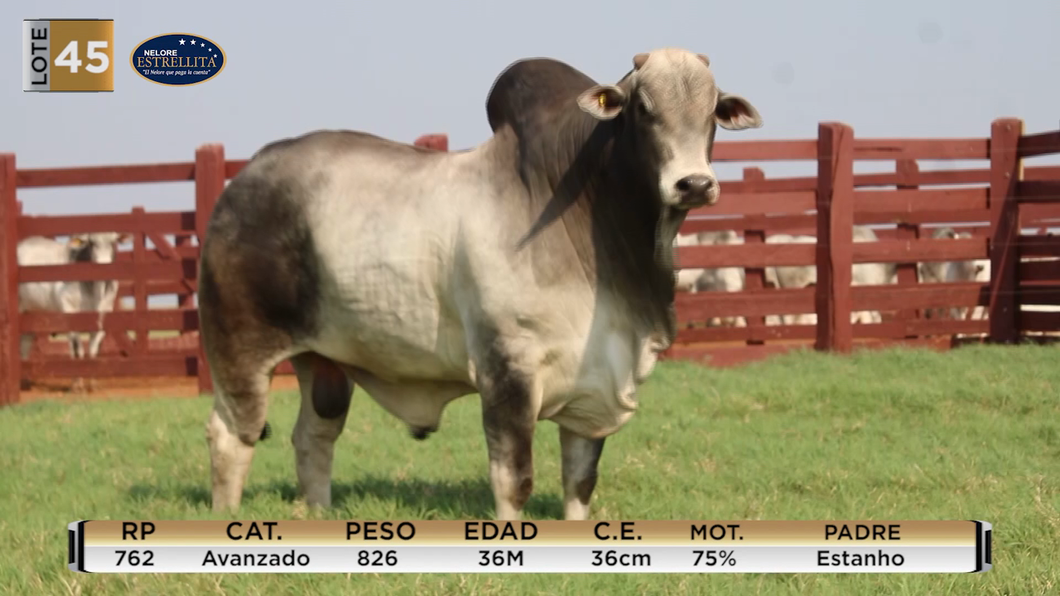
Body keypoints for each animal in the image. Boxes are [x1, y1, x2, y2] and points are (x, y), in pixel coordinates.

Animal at [17, 232, 129, 391]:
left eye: (113, 242)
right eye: (91, 243)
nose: (103, 265)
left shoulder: (102, 317)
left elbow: (93, 351)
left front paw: (93, 383)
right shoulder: (70, 313)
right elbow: (77, 351)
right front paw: (77, 385)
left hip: (31, 313)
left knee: (25, 344)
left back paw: (25, 382)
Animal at [197, 48, 763, 519]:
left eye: (713, 111)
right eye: (642, 107)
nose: (694, 184)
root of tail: (242, 181)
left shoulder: (595, 376)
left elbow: (580, 479)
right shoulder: (507, 368)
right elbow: (514, 478)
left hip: (324, 360)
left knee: (314, 436)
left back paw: (320, 514)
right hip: (240, 350)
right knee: (231, 436)